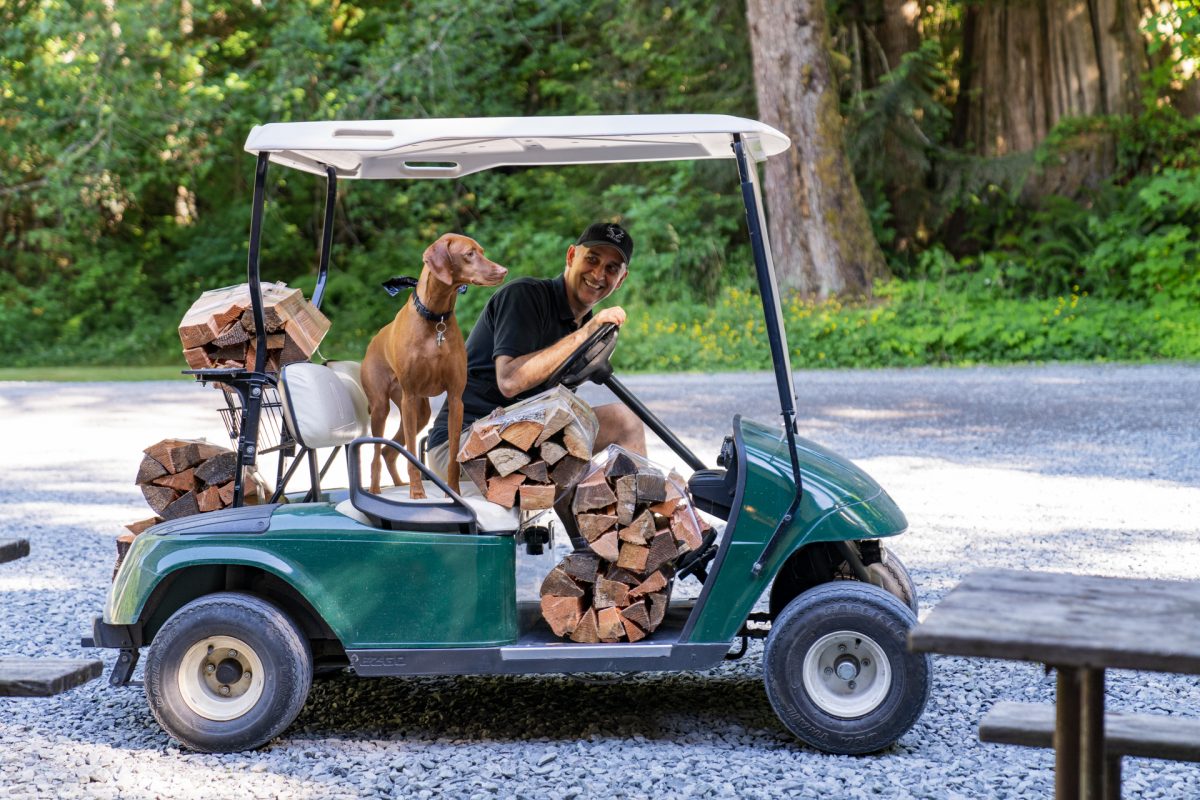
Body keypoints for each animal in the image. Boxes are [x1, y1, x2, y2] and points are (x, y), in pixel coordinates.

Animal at [357, 231, 504, 496]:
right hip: (384, 407)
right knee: (376, 453)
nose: (503, 270)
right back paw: (375, 490)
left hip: (420, 412)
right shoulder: (410, 397)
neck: (436, 319)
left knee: (388, 450)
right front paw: (417, 494)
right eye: (469, 254)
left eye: (482, 251)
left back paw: (398, 485)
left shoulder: (456, 399)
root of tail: (373, 341)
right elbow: (412, 455)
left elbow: (454, 454)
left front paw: (453, 491)